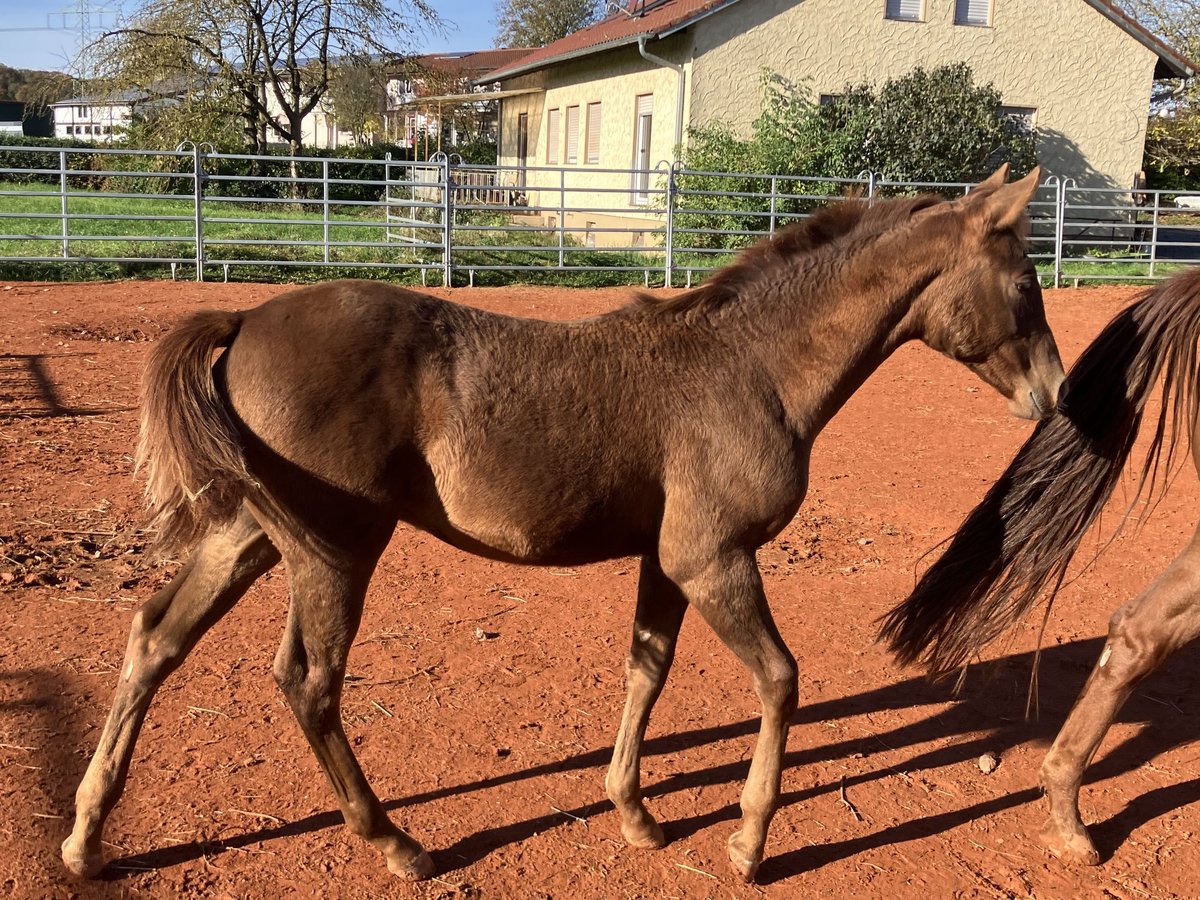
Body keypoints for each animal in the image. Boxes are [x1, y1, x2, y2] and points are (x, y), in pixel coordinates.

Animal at [61, 165, 1063, 884]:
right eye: (1024, 283)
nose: (1053, 395)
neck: (752, 366)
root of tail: (244, 316)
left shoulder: (668, 561)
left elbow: (646, 670)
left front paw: (635, 814)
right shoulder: (714, 558)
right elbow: (780, 680)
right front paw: (748, 843)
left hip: (252, 533)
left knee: (157, 636)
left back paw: (85, 839)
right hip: (336, 547)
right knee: (308, 684)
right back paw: (397, 844)